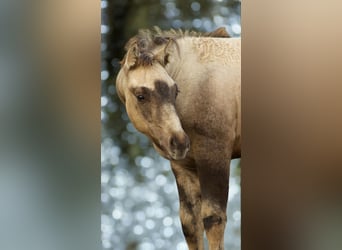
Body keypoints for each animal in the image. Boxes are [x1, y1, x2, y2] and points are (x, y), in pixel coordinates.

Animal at [115, 27, 240, 250]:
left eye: (175, 91)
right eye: (140, 95)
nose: (180, 142)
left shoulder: (215, 156)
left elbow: (214, 219)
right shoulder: (184, 167)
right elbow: (190, 224)